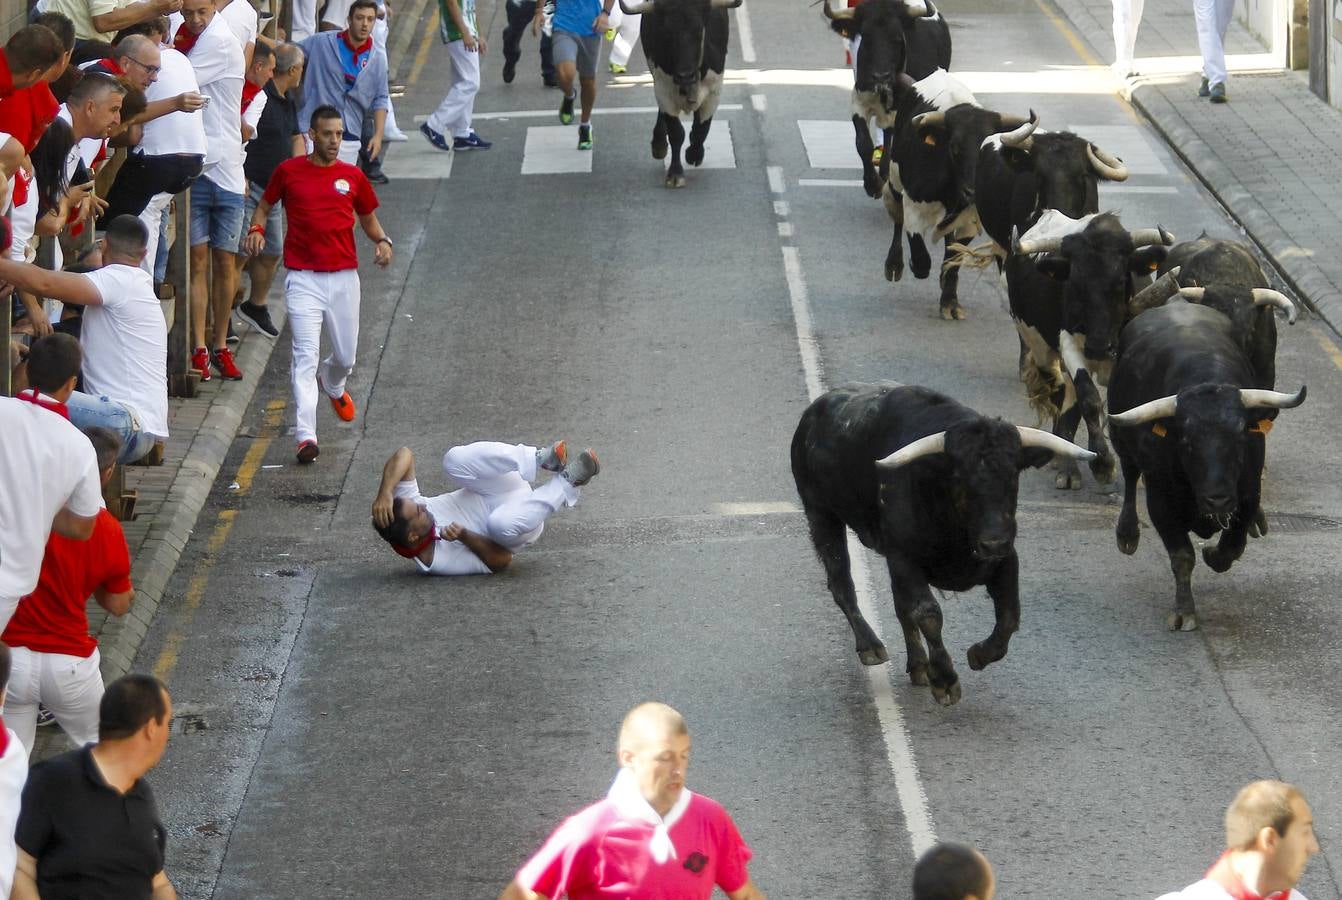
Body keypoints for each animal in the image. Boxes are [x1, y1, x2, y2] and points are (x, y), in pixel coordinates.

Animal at [620, 0, 740, 187]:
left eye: (698, 31)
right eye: (667, 32)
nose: (685, 75)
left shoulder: (714, 91)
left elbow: (701, 129)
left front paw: (694, 154)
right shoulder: (663, 89)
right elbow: (676, 133)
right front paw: (675, 173)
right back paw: (659, 145)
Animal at [789, 383, 1095, 708]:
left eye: (1012, 474)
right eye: (959, 476)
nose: (993, 542)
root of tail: (814, 412)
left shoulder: (1006, 559)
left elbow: (1009, 616)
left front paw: (978, 654)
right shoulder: (905, 558)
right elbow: (928, 614)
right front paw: (945, 680)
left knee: (899, 606)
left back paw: (918, 666)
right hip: (821, 515)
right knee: (842, 583)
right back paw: (871, 646)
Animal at [821, 0, 950, 198]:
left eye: (897, 39)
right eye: (866, 38)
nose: (880, 76)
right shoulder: (859, 100)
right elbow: (863, 142)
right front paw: (872, 183)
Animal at [1003, 210, 1170, 488]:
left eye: (1121, 280)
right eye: (1075, 283)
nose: (1099, 347)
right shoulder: (1069, 344)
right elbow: (1089, 398)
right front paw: (1103, 463)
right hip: (1040, 349)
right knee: (1061, 392)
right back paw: (1065, 461)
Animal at [1105, 300, 1304, 633]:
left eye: (1241, 435)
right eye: (1185, 441)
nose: (1217, 499)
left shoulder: (1248, 493)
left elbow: (1231, 547)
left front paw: (1215, 553)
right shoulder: (1161, 502)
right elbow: (1182, 556)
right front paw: (1184, 611)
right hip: (1122, 439)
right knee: (1130, 475)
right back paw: (1127, 533)